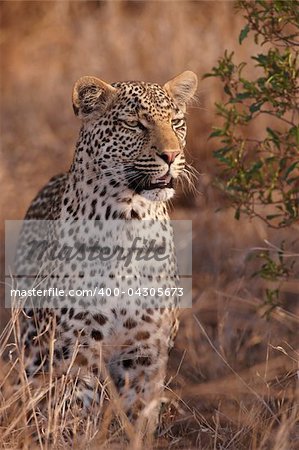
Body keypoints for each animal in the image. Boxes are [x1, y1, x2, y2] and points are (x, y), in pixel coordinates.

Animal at [14, 71, 198, 440]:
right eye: (134, 124)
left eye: (176, 122)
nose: (172, 155)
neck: (128, 218)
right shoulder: (76, 350)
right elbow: (74, 415)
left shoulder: (146, 351)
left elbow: (139, 417)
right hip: (34, 346)